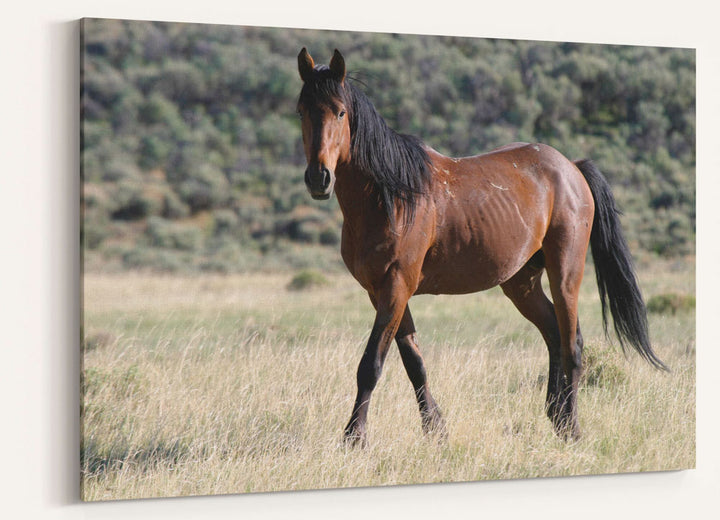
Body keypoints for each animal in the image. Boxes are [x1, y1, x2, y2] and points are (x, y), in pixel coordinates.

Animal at [296, 47, 668, 442]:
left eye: (340, 111)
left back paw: (571, 426)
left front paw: (354, 437)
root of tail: (572, 168)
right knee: (553, 333)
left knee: (572, 344)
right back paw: (555, 416)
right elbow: (414, 362)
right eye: (302, 110)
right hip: (521, 282)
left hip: (565, 272)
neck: (392, 196)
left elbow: (371, 364)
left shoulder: (396, 286)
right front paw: (435, 429)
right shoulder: (382, 291)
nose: (319, 178)